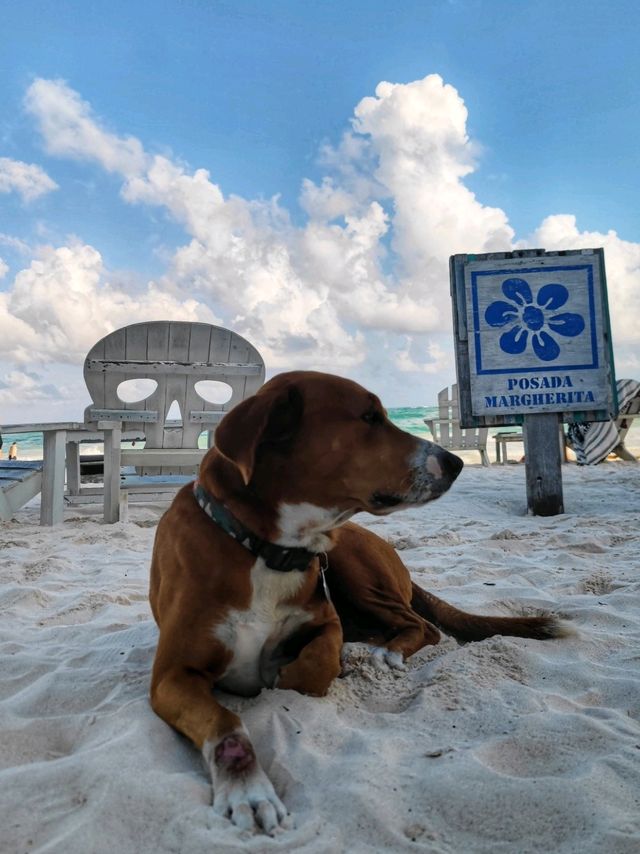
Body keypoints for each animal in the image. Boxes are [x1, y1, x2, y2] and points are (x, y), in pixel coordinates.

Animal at [148, 370, 564, 836]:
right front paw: (248, 791)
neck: (264, 548)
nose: (455, 463)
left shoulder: (326, 621)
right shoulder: (172, 675)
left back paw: (383, 653)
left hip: (353, 568)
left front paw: (295, 670)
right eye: (369, 417)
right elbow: (226, 723)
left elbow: (316, 664)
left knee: (421, 626)